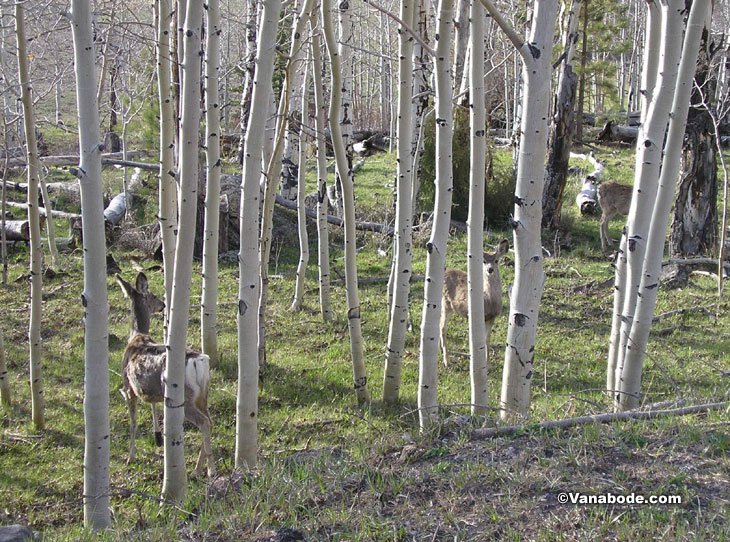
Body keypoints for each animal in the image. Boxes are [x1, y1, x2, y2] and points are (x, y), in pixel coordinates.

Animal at [115, 274, 215, 478]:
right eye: (154, 295)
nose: (162, 305)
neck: (136, 336)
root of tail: (199, 360)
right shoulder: (149, 391)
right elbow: (153, 408)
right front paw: (157, 436)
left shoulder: (129, 388)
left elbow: (133, 423)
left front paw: (131, 457)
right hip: (203, 396)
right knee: (210, 420)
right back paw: (198, 469)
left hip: (184, 397)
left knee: (204, 423)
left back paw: (209, 469)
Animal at [438, 240, 506, 368]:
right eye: (484, 261)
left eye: (496, 260)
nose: (490, 269)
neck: (489, 301)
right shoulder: (472, 315)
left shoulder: (492, 317)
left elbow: (487, 339)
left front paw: (488, 365)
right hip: (446, 304)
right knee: (442, 327)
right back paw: (447, 361)